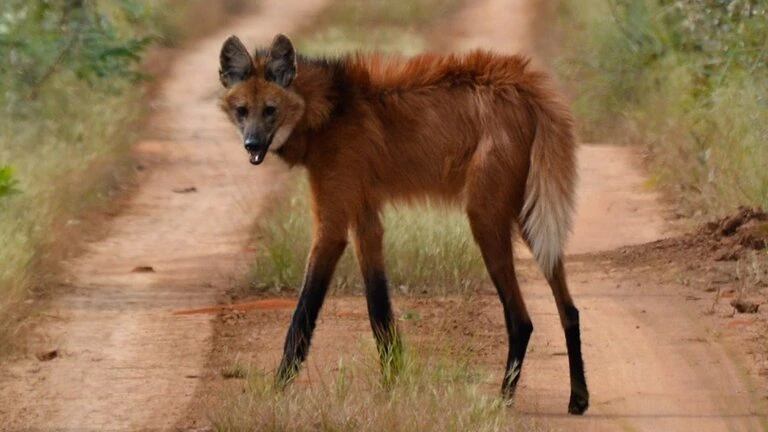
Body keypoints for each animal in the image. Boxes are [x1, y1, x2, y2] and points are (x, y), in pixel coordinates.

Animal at [219, 34, 592, 416]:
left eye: (270, 110)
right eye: (242, 110)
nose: (252, 144)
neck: (330, 109)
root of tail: (524, 83)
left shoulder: (333, 222)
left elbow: (303, 315)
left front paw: (276, 389)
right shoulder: (365, 216)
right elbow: (379, 309)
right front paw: (393, 381)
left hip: (487, 216)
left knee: (522, 319)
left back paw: (501, 400)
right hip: (530, 216)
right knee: (570, 309)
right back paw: (578, 398)